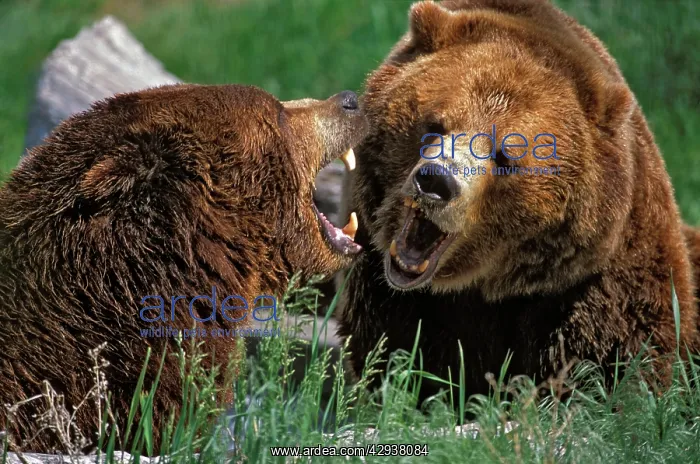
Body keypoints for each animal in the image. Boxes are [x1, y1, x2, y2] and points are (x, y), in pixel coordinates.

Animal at [337, 0, 700, 408]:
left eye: (504, 155)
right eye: (434, 125)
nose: (436, 182)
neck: (483, 286)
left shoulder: (597, 289)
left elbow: (615, 368)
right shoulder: (390, 296)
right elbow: (401, 362)